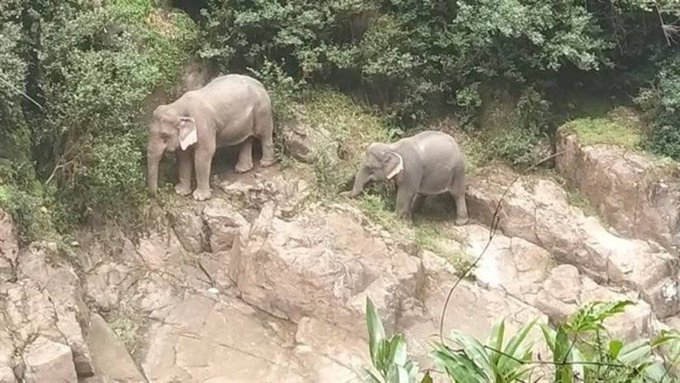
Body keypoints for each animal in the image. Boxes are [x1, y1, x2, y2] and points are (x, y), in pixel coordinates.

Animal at [147, 73, 276, 202]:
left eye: (164, 135)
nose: (158, 194)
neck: (178, 106)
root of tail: (260, 84)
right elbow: (183, 157)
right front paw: (181, 192)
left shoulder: (204, 126)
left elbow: (203, 155)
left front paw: (199, 197)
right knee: (247, 139)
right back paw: (242, 169)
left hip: (262, 109)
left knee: (264, 134)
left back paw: (265, 163)